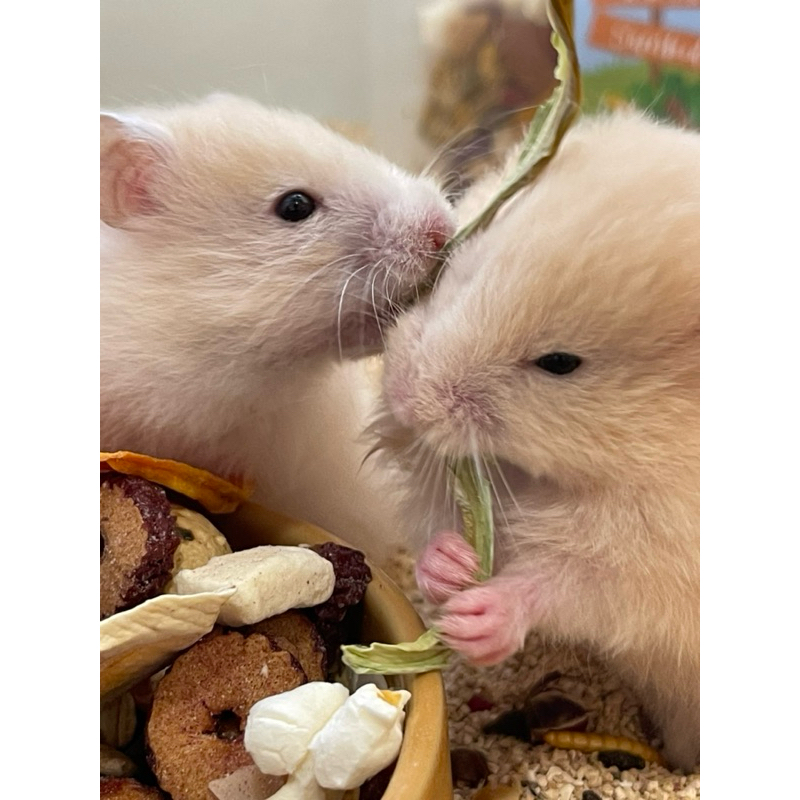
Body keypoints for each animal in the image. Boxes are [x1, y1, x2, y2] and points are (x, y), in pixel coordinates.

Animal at [374, 112, 700, 770]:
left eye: (560, 363)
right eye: (461, 272)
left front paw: (472, 618)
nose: (402, 397)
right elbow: (437, 518)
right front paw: (450, 567)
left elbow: (569, 581)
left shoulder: (653, 560)